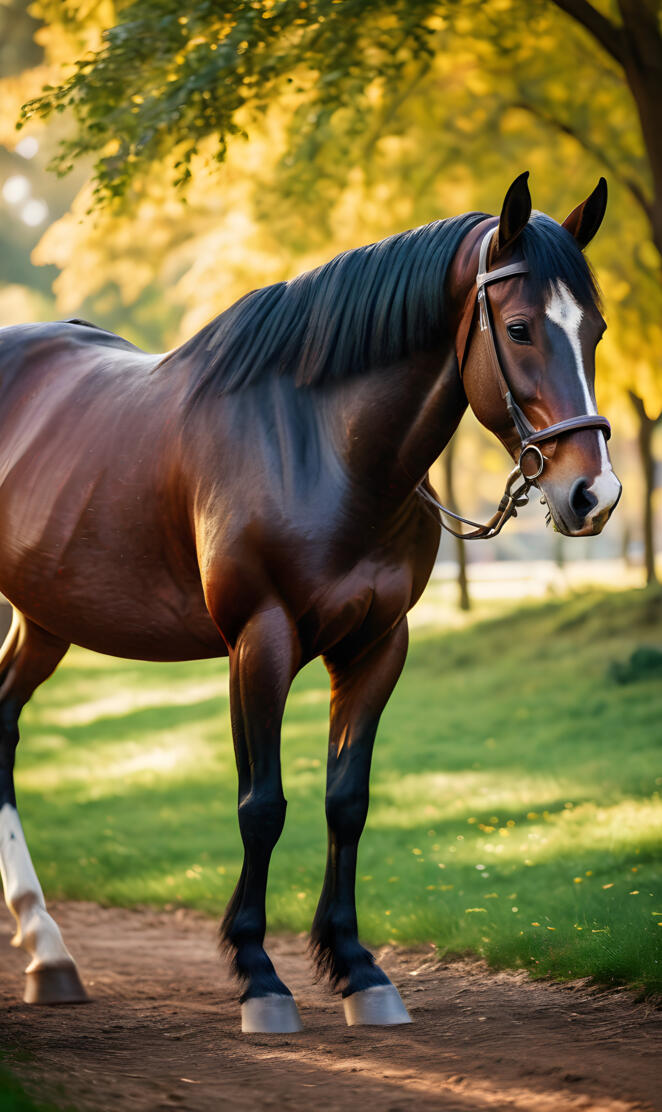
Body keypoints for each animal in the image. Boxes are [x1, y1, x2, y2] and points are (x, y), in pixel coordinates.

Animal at [0, 172, 621, 1032]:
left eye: (594, 328)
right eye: (522, 328)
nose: (594, 493)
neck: (321, 447)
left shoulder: (377, 645)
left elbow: (346, 800)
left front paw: (358, 968)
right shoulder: (259, 642)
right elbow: (262, 805)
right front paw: (260, 977)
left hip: (45, 620)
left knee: (1, 727)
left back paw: (47, 950)